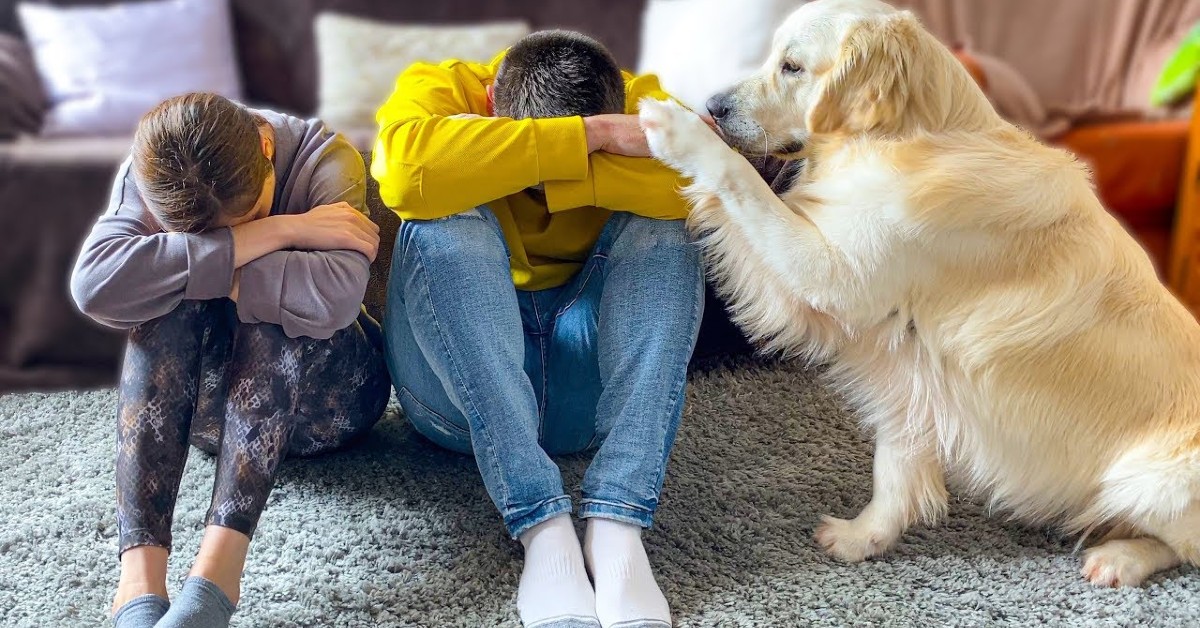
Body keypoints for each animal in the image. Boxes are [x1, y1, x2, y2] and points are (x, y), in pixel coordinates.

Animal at [648, 0, 1200, 590]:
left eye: (791, 67)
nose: (713, 106)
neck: (905, 140)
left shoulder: (831, 274)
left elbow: (744, 183)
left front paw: (677, 130)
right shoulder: (909, 365)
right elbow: (895, 466)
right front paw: (863, 537)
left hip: (1152, 479)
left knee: (1183, 549)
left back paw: (1119, 558)